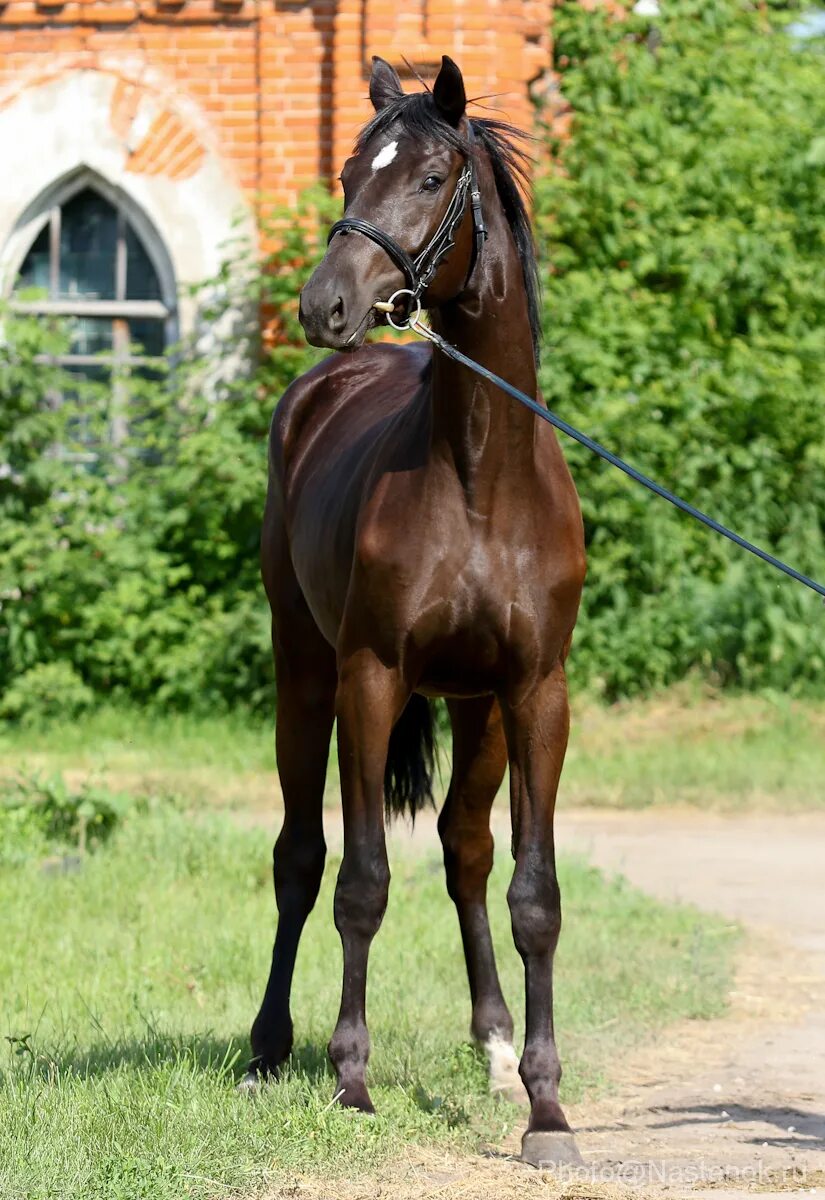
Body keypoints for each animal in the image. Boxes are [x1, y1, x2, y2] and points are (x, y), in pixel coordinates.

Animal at [247, 56, 587, 1171]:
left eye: (435, 177)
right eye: (351, 170)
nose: (327, 303)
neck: (481, 479)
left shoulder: (535, 694)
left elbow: (532, 894)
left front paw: (546, 1107)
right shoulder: (370, 678)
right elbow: (359, 880)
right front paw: (350, 1079)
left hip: (478, 712)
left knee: (465, 851)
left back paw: (492, 1048)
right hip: (305, 677)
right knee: (299, 858)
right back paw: (268, 1048)